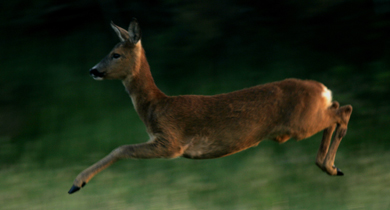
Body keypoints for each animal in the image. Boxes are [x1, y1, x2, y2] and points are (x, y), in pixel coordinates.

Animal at [68, 18, 354, 194]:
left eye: (116, 54)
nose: (93, 70)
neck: (155, 106)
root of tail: (322, 89)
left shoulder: (171, 142)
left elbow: (122, 148)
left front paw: (77, 183)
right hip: (305, 120)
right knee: (338, 107)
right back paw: (331, 167)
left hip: (300, 124)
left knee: (344, 110)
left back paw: (330, 166)